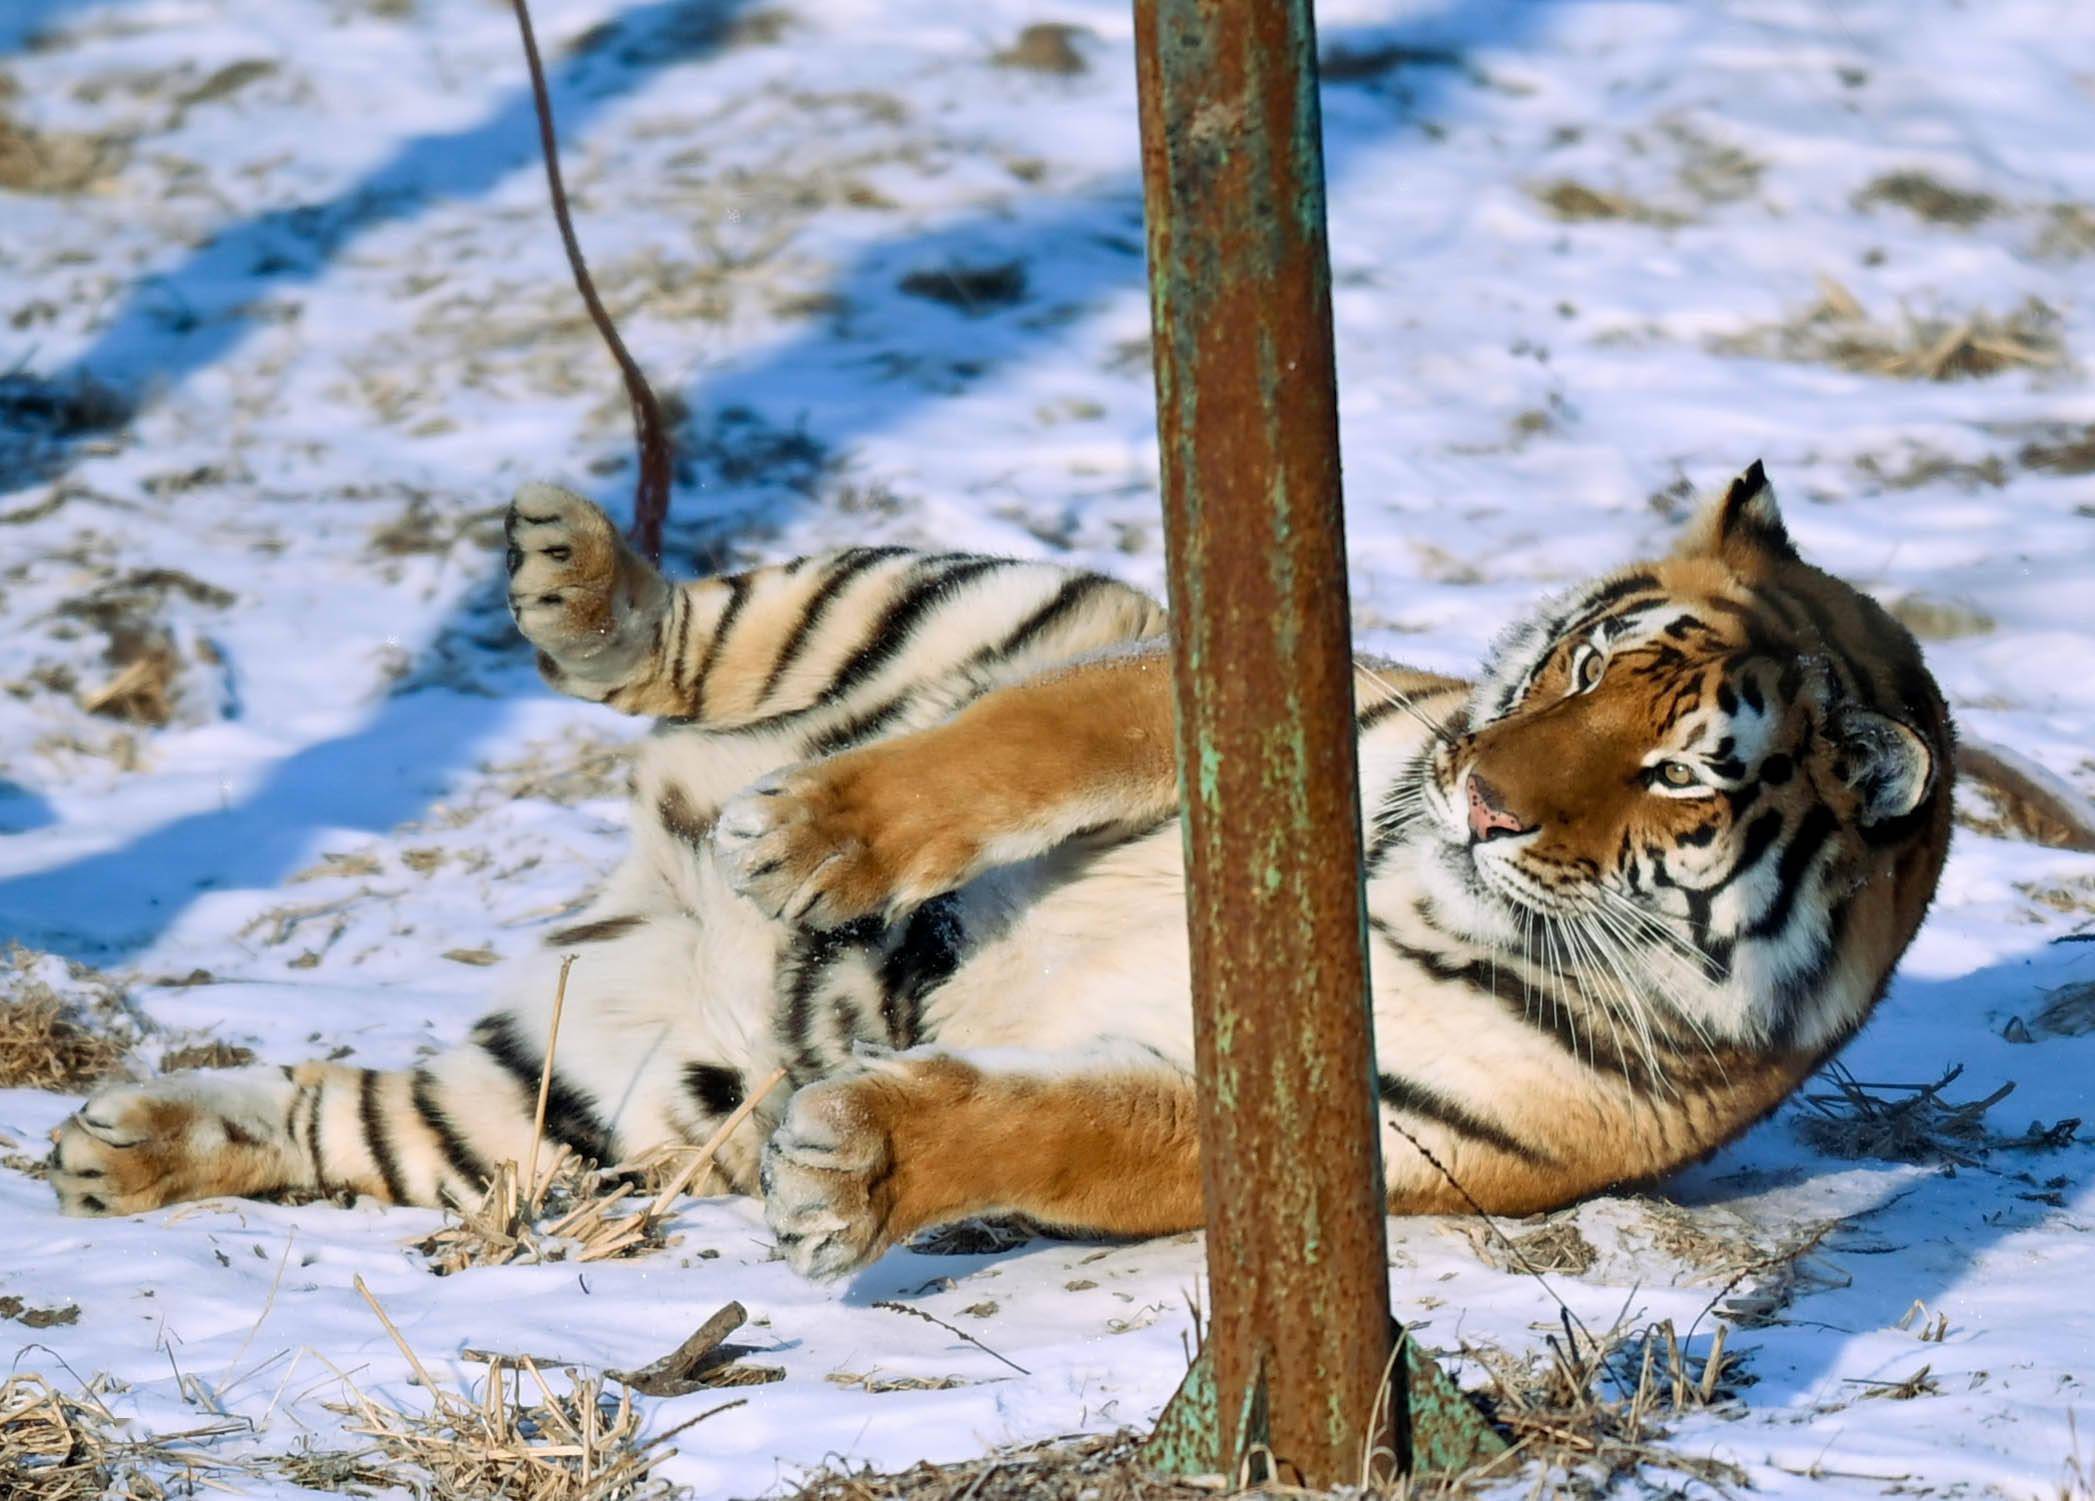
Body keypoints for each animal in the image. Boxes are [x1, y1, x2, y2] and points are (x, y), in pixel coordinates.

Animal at [57, 461, 1969, 1274]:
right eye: (1578, 664)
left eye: (1672, 777)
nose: (1475, 794)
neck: (1423, 884)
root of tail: (648, 886)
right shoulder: (1237, 688)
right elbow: (1020, 751)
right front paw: (815, 842)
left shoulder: (1356, 1129)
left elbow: (1081, 1136)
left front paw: (853, 1170)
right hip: (959, 596)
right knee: (696, 639)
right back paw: (587, 586)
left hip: (596, 1095)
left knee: (348, 1117)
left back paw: (124, 1147)